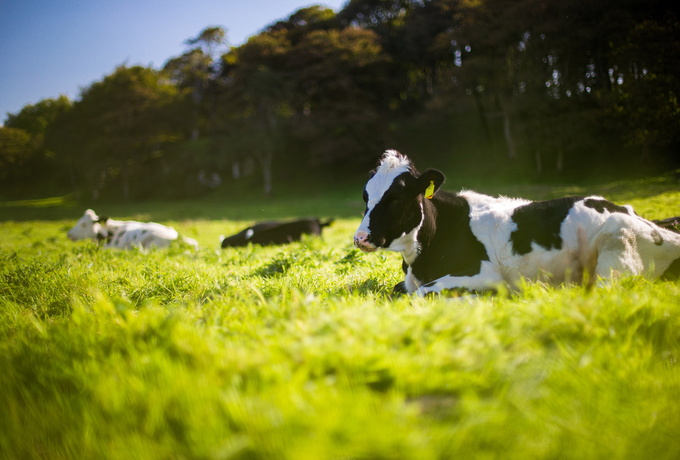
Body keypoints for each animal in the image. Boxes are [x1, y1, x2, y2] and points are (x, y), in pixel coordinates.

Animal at [353, 150, 680, 295]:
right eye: (365, 195)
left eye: (396, 197)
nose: (360, 237)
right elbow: (400, 290)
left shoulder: (483, 273)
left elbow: (422, 293)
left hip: (615, 254)